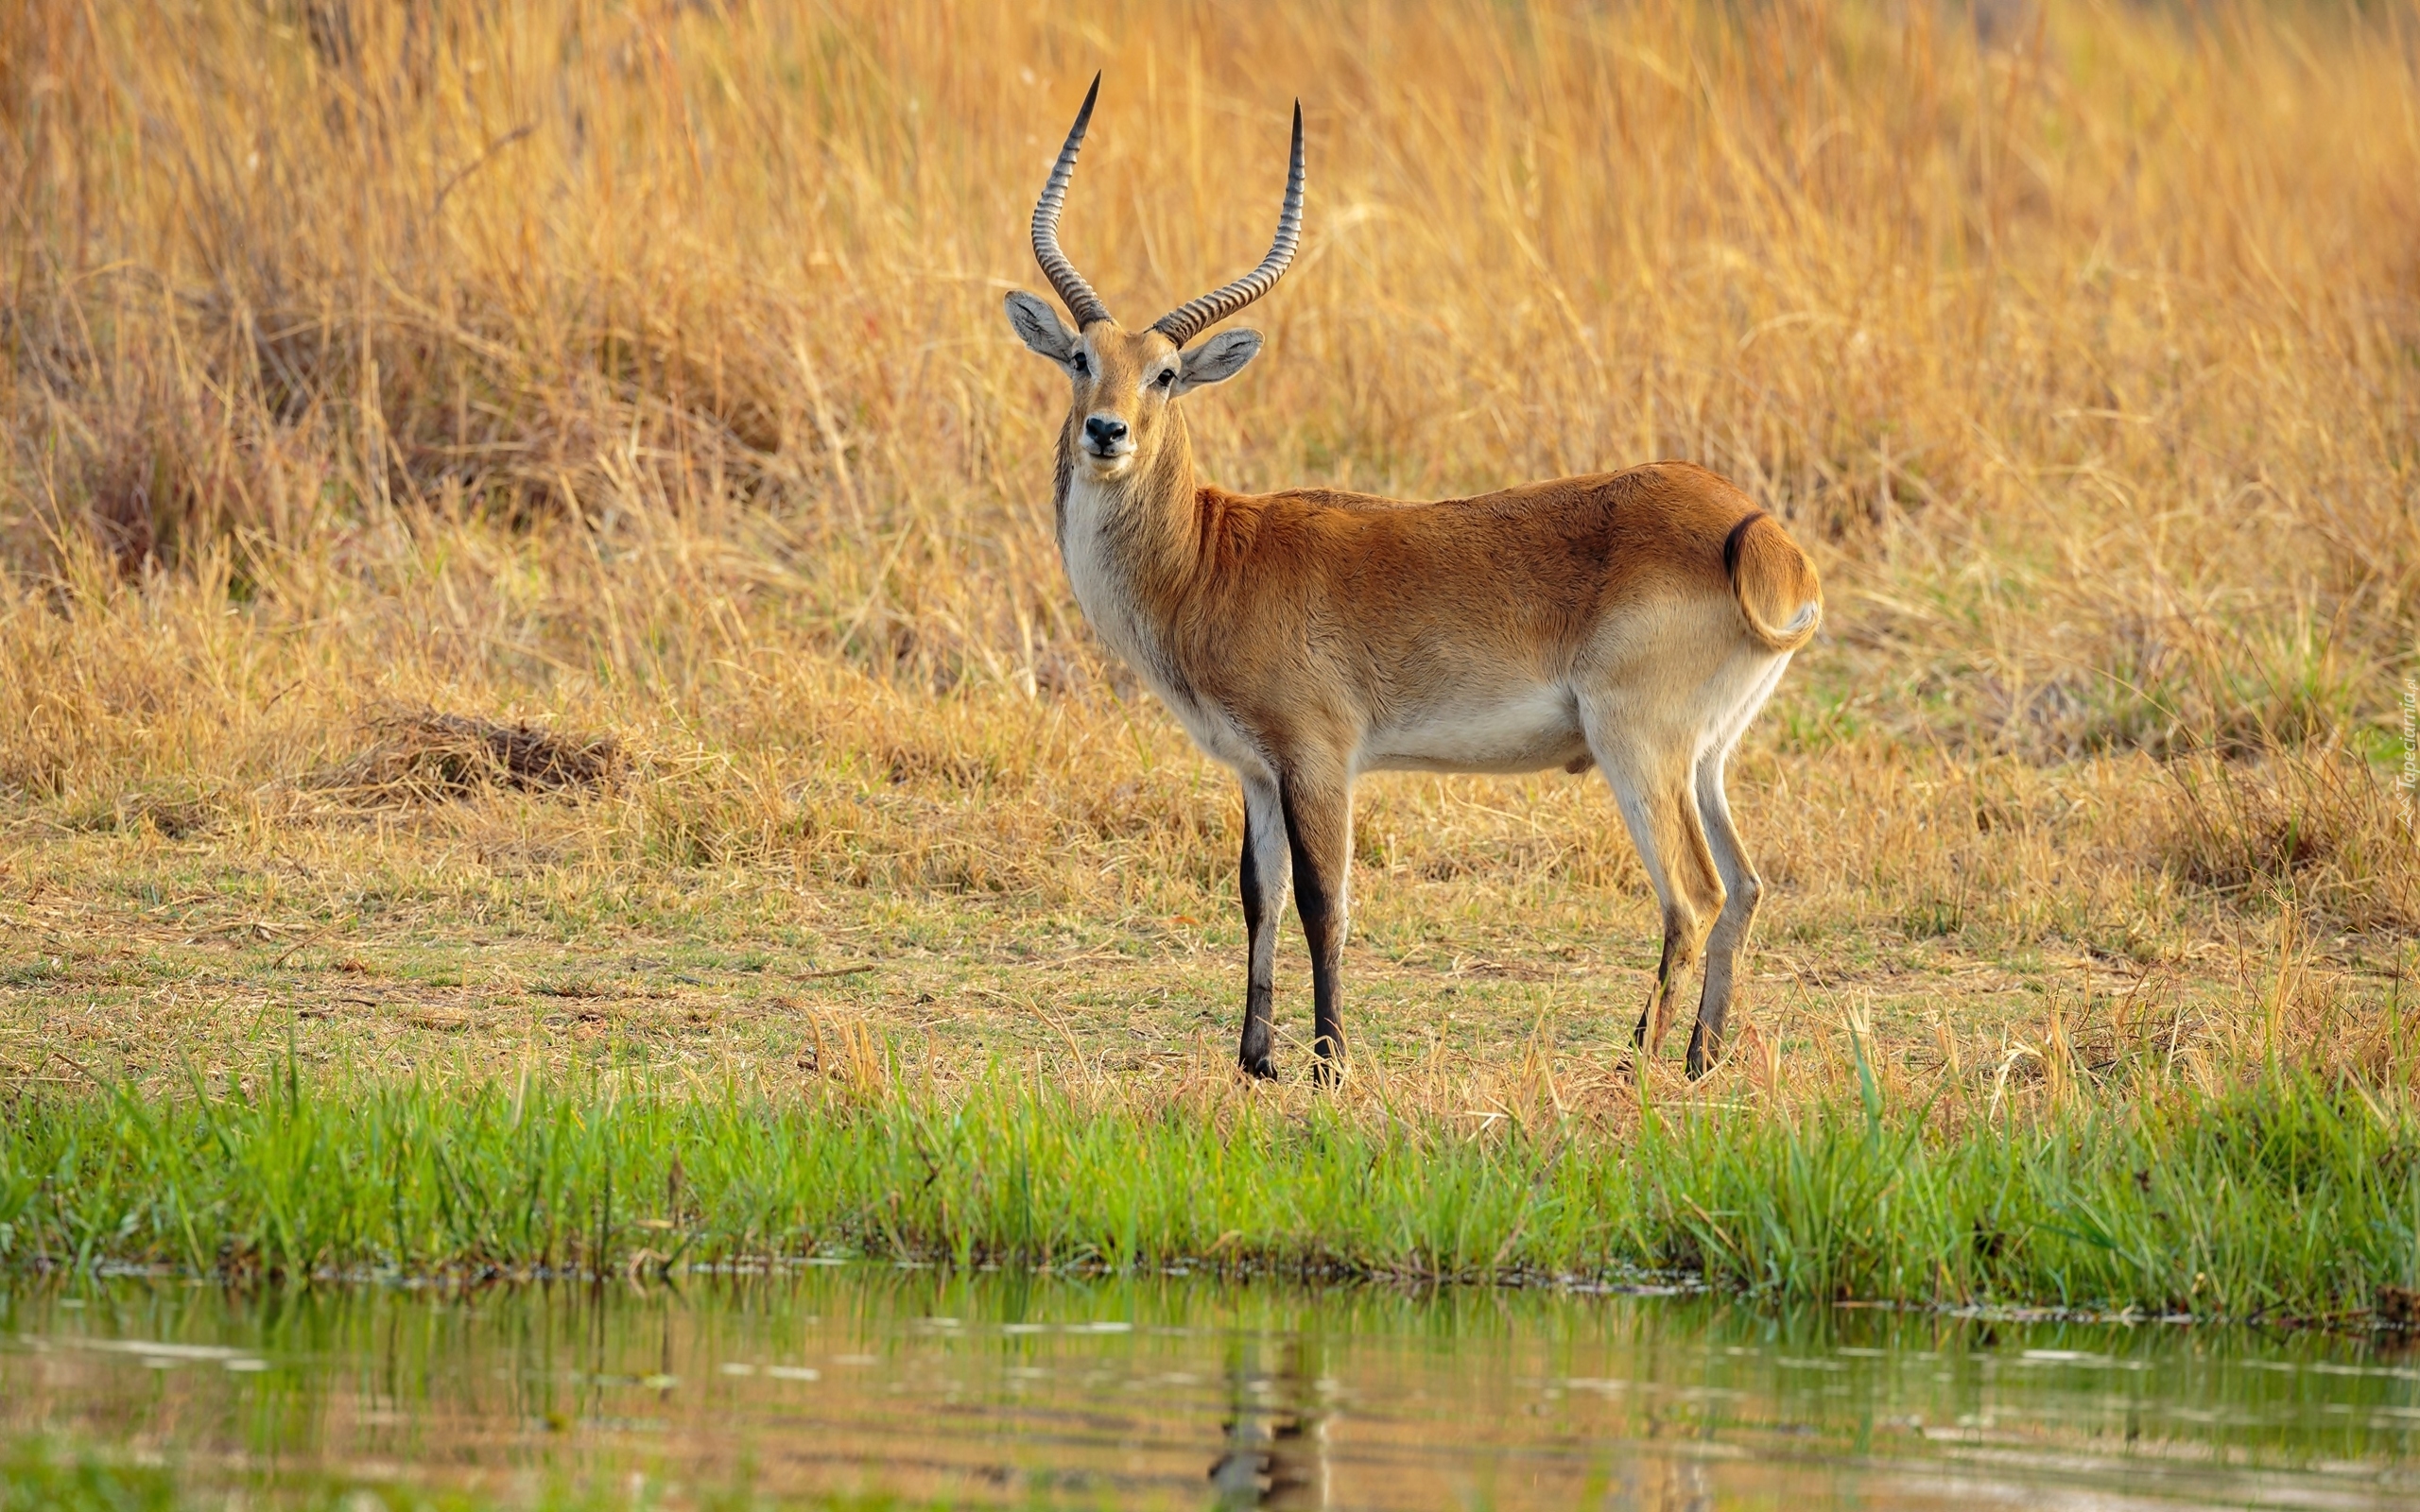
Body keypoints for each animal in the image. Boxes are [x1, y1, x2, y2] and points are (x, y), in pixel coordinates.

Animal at [996, 77, 1820, 1078]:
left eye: (1165, 374)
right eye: (1082, 359)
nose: (1106, 431)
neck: (1211, 558)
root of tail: (1762, 534)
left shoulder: (1319, 758)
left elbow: (1326, 904)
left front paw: (1330, 1062)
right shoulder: (1256, 771)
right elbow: (1259, 896)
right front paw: (1256, 1061)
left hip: (1639, 747)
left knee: (1693, 895)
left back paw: (1632, 1066)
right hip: (1706, 756)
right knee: (1746, 885)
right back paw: (1702, 1058)